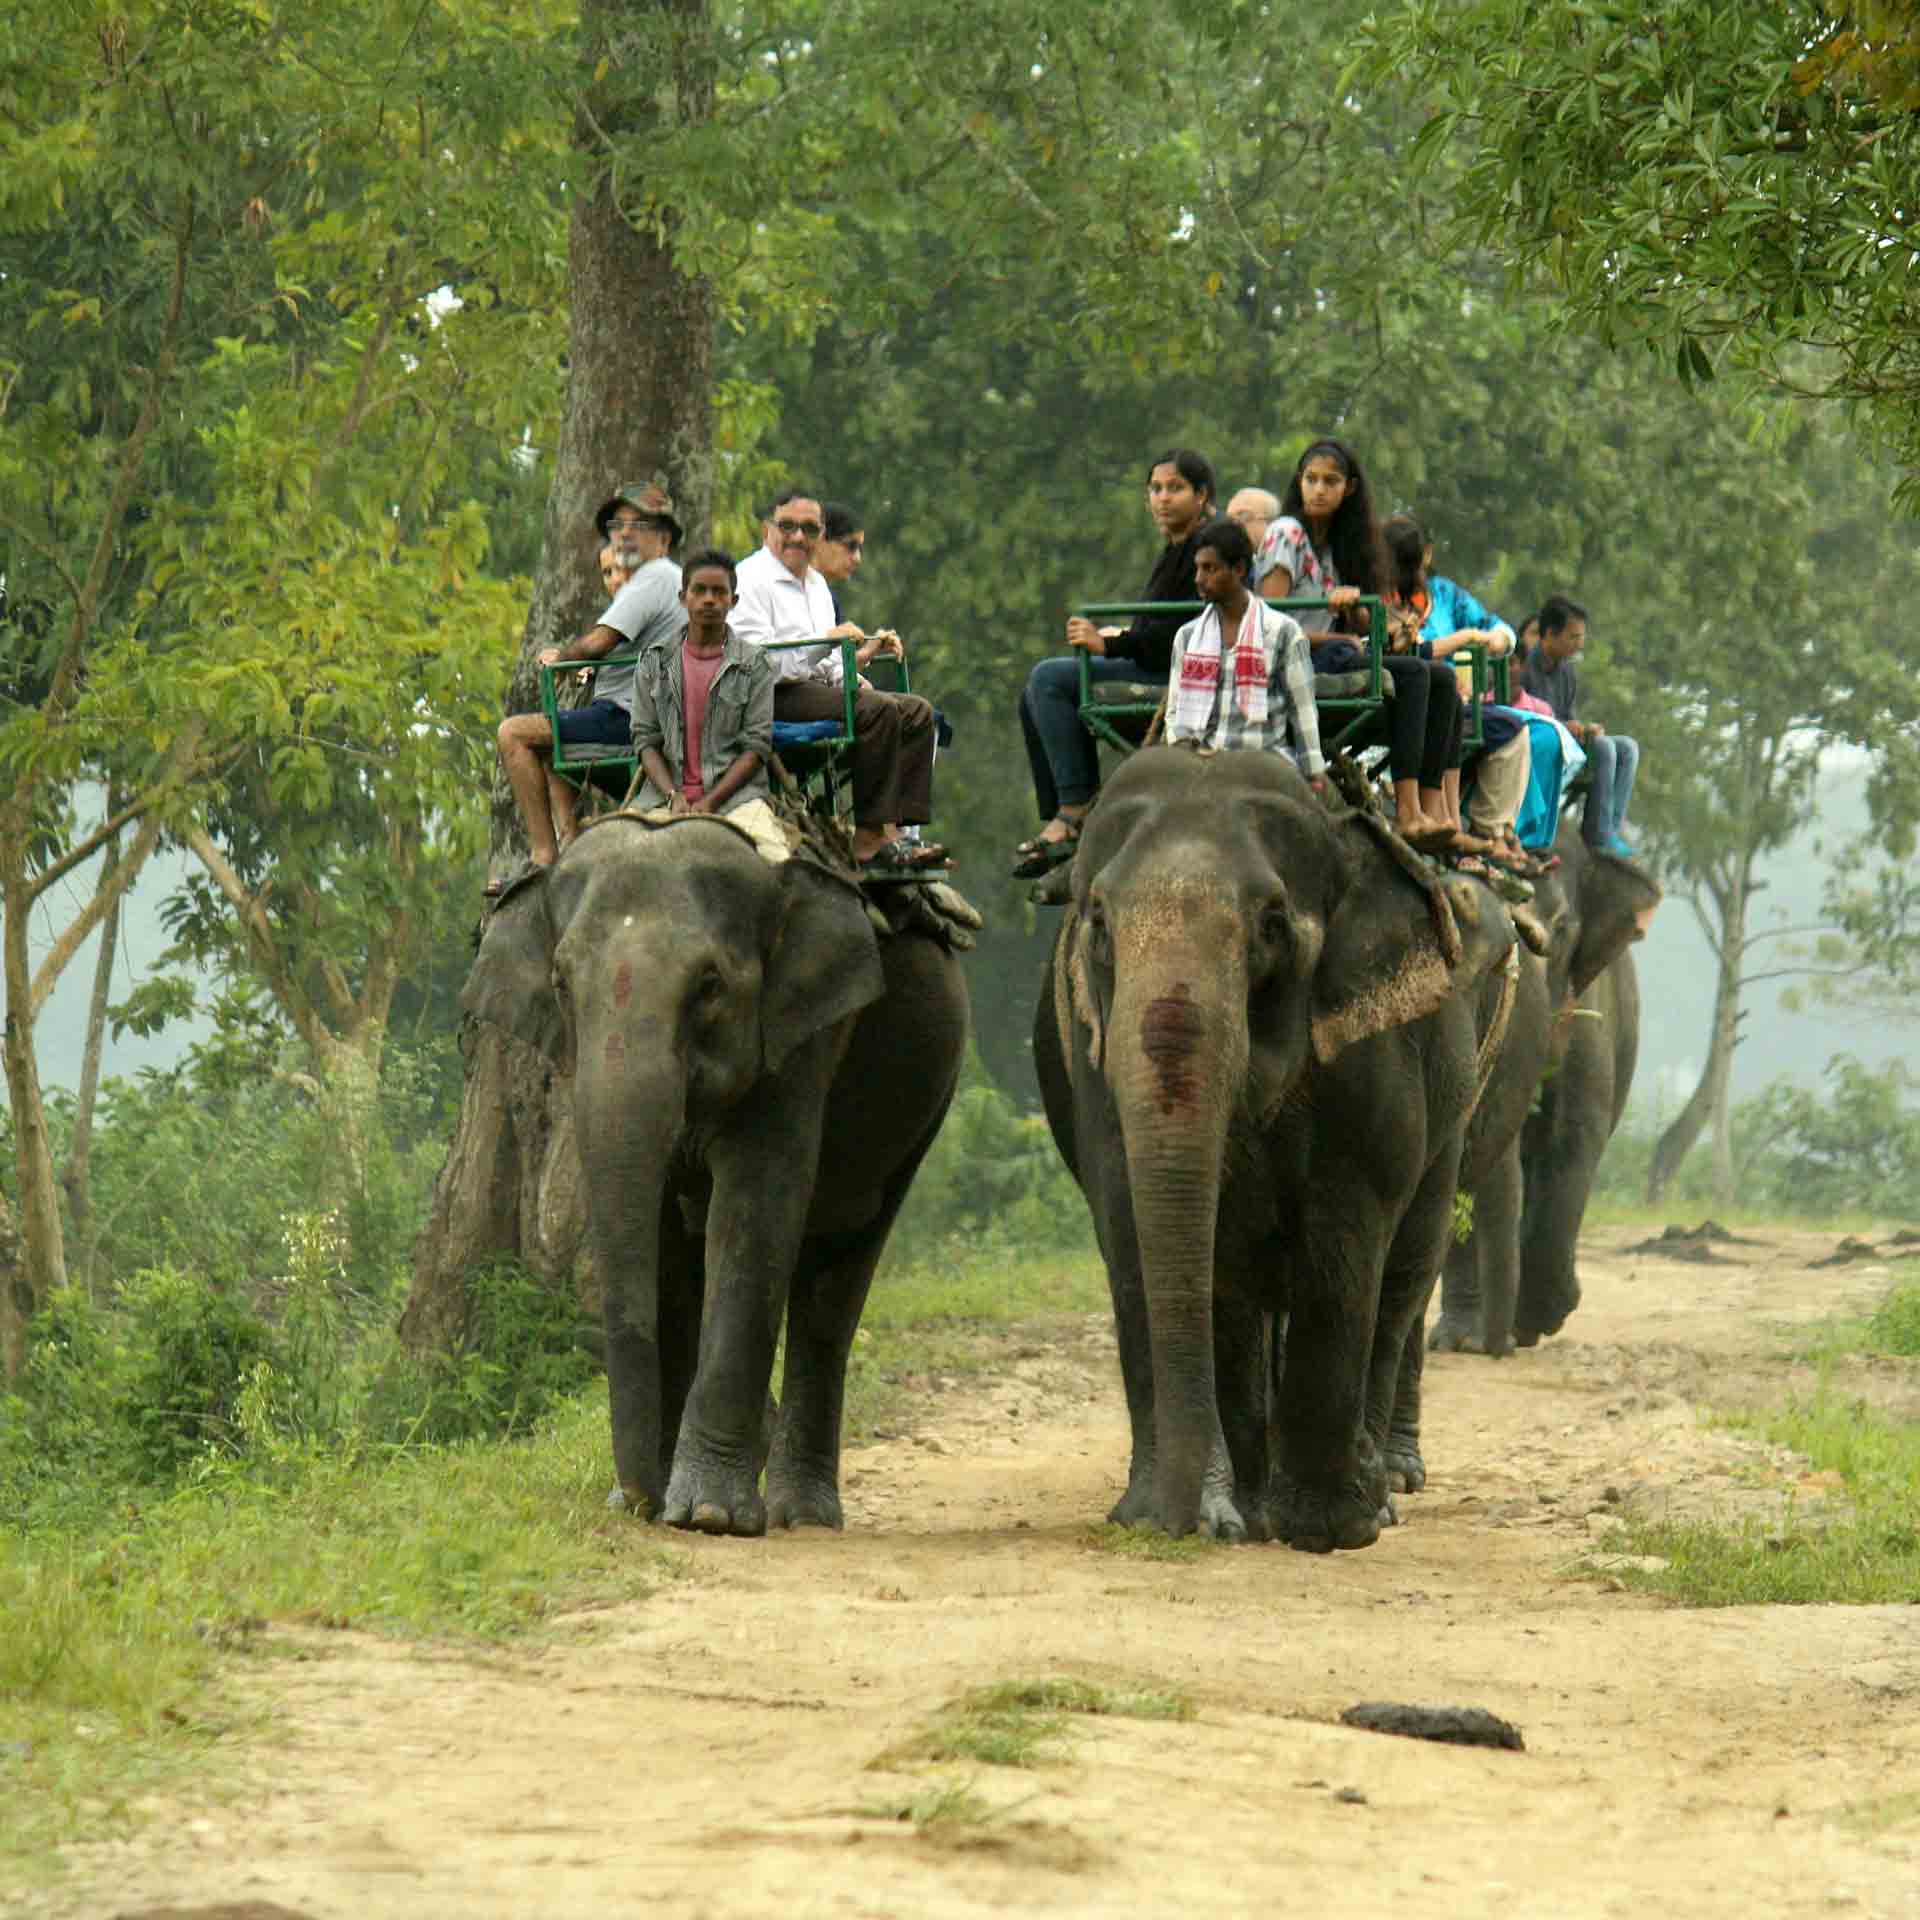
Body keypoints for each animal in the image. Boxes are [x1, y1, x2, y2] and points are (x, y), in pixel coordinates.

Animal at [462, 817, 967, 1536]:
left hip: (925, 1104)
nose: (635, 1500)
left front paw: (707, 1514)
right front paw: (661, 1500)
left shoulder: (803, 1037)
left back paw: (802, 1514)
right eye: (559, 983)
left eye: (709, 986)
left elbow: (755, 1206)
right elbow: (658, 1236)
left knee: (838, 1274)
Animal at [1036, 741, 1528, 1551]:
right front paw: (1196, 1517)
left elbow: (1343, 1233)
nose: (1179, 1525)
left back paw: (1377, 1491)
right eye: (1098, 921)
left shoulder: (1368, 1044)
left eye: (1271, 922)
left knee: (1402, 1277)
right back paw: (1259, 1502)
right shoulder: (1090, 1052)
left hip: (1455, 1099)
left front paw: (1330, 1528)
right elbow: (1139, 1227)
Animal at [1436, 821, 1658, 1351]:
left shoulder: (1589, 1019)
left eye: (1561, 929)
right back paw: (1464, 1337)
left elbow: (1573, 1139)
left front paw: (1544, 1315)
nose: (1501, 1346)